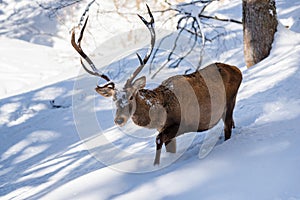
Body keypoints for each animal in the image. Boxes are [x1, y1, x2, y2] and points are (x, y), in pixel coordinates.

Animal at [71, 5, 243, 165]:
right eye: (113, 99)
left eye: (131, 96)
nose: (119, 120)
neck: (158, 113)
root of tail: (237, 69)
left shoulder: (179, 124)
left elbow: (158, 140)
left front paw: (156, 165)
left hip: (230, 101)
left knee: (228, 126)